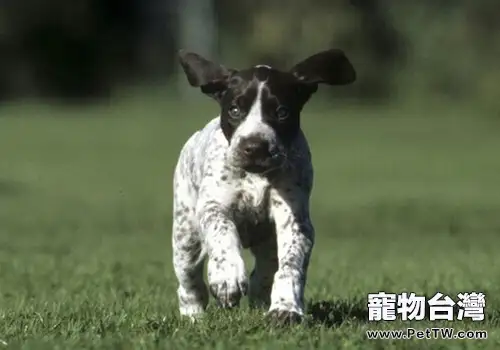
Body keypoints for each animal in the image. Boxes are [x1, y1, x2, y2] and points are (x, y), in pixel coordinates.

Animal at [172, 47, 356, 324]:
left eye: (281, 112)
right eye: (234, 110)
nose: (255, 146)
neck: (255, 177)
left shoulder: (295, 220)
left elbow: (290, 265)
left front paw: (286, 308)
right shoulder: (213, 206)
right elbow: (222, 231)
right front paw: (227, 276)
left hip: (267, 242)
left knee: (265, 272)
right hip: (186, 235)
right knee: (189, 280)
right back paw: (194, 314)